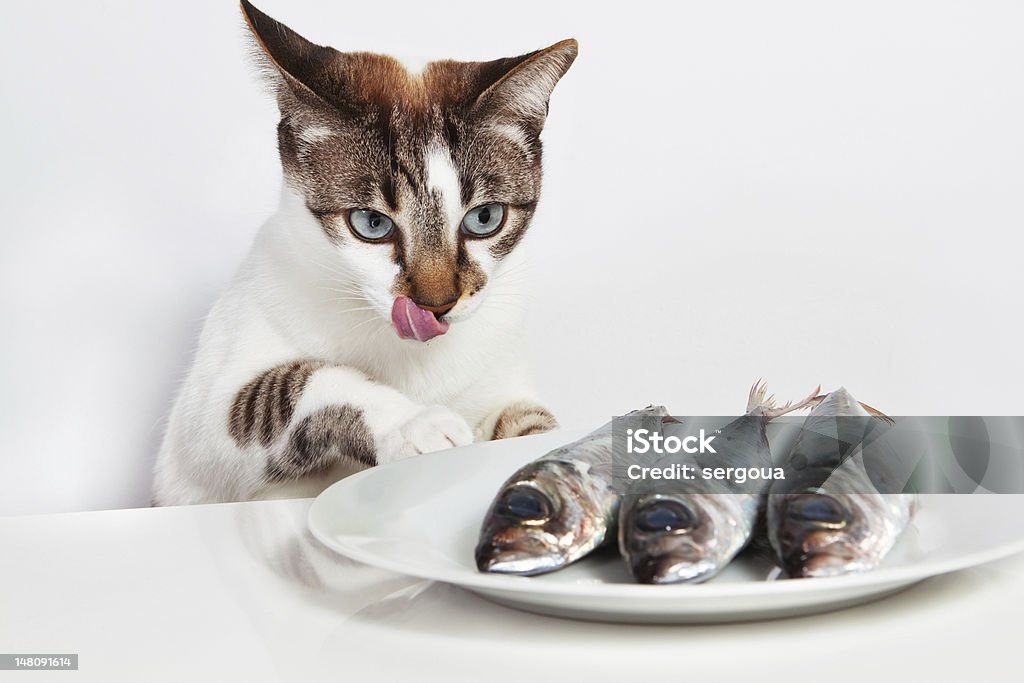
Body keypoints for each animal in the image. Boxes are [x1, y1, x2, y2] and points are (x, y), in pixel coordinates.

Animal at [149, 0, 577, 501]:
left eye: (484, 219)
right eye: (372, 224)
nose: (437, 305)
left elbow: (528, 424)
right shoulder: (196, 437)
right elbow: (292, 385)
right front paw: (414, 422)